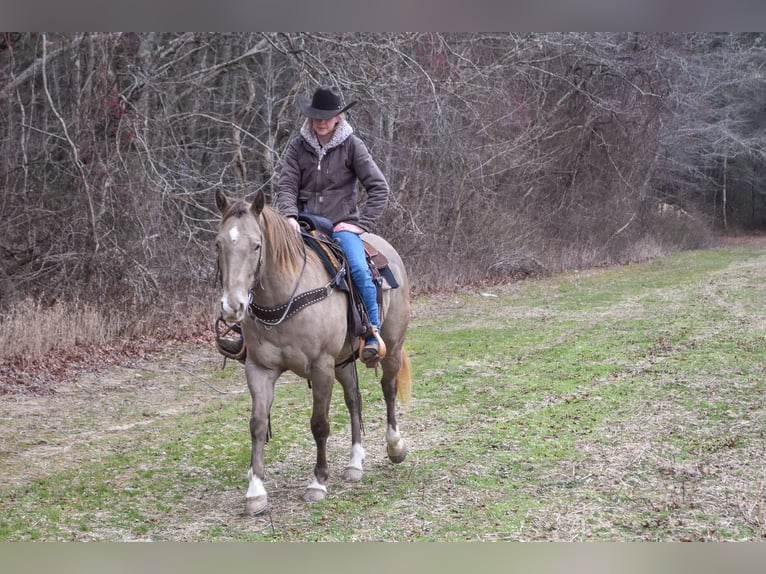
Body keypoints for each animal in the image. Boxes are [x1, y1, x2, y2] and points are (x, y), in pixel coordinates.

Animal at [214, 188, 411, 516]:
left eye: (256, 245)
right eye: (218, 244)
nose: (233, 306)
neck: (284, 295)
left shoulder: (321, 367)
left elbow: (319, 424)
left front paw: (318, 482)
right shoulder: (259, 369)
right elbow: (257, 424)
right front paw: (255, 491)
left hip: (391, 347)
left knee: (388, 389)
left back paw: (395, 446)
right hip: (343, 361)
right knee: (354, 400)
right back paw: (355, 463)